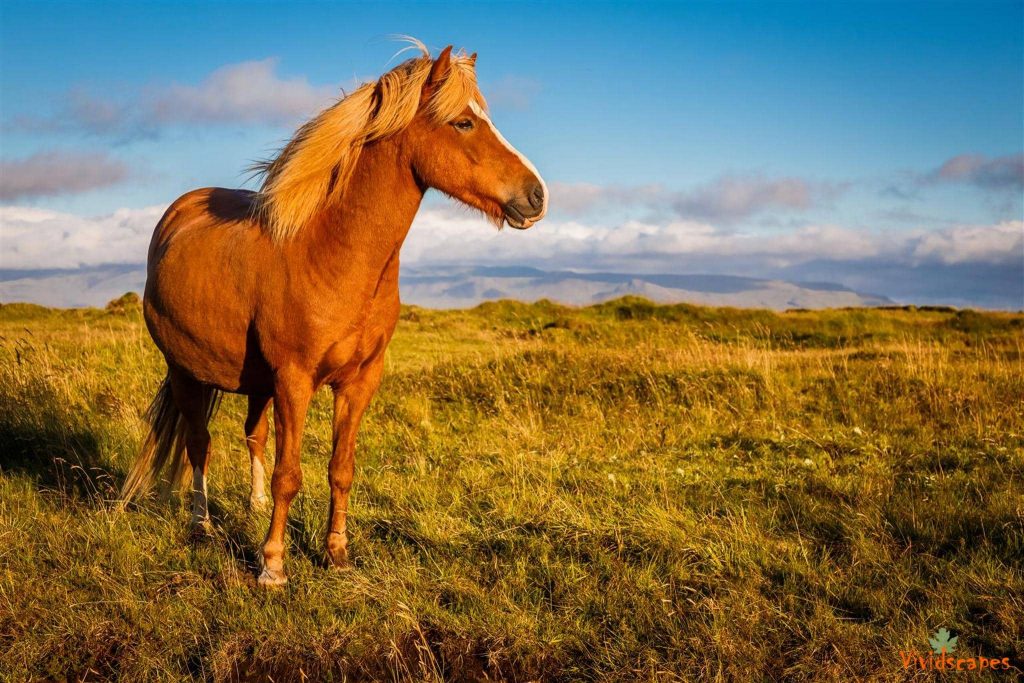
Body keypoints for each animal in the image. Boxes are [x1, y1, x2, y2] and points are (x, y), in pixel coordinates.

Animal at [120, 42, 548, 589]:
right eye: (464, 123)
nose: (537, 196)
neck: (331, 254)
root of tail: (177, 213)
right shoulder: (295, 379)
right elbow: (289, 473)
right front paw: (273, 565)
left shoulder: (359, 381)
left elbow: (340, 468)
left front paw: (336, 552)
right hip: (185, 372)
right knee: (200, 444)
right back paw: (202, 524)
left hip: (255, 383)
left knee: (253, 435)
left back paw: (253, 506)